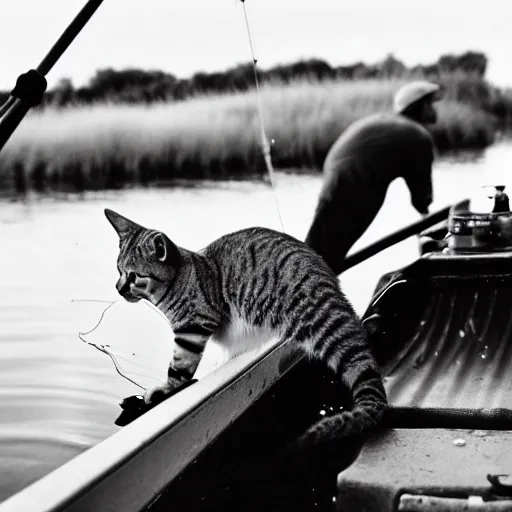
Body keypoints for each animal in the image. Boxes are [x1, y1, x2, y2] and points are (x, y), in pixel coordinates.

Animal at [104, 208, 386, 448]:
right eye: (118, 271)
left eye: (134, 276)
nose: (118, 289)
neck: (181, 278)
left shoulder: (194, 325)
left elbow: (179, 368)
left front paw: (163, 390)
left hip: (316, 320)